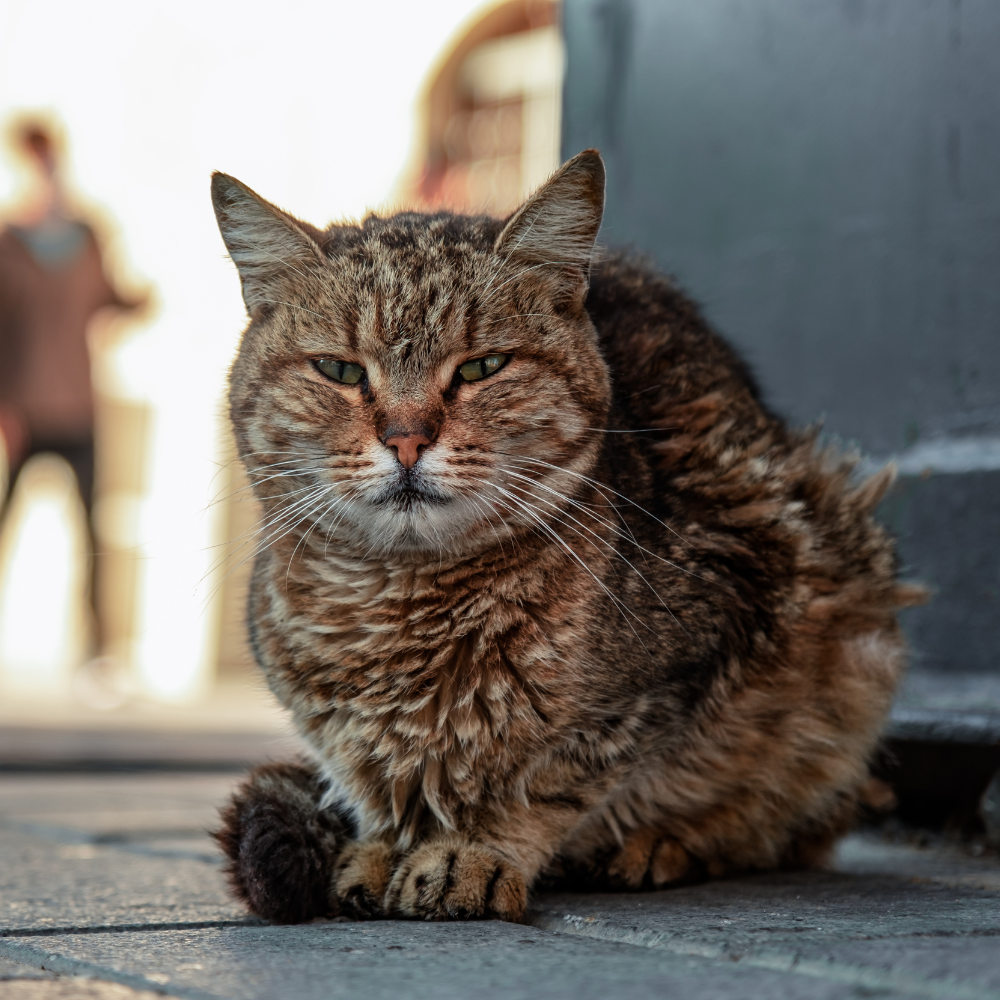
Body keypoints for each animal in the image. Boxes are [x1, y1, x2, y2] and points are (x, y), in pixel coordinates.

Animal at [209, 148, 920, 920]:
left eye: (482, 367)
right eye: (339, 370)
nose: (406, 438)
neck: (396, 604)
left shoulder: (695, 648)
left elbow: (551, 780)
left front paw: (473, 851)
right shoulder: (330, 729)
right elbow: (376, 783)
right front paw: (380, 847)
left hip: (849, 613)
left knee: (789, 821)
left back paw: (661, 844)